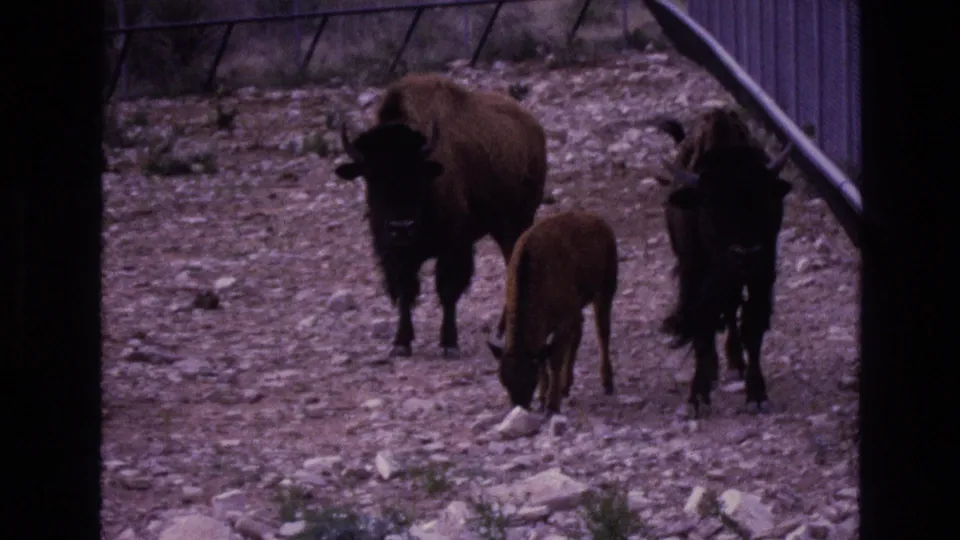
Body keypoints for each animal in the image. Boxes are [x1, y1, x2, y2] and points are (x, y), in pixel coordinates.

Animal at [335, 74, 548, 359]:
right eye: (370, 176)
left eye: (418, 174)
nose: (401, 226)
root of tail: (533, 128)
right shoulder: (396, 252)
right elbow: (405, 290)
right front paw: (401, 342)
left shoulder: (454, 246)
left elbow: (447, 290)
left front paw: (449, 344)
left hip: (517, 223)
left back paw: (503, 333)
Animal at [486, 211, 619, 415]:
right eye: (503, 381)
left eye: (529, 381)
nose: (520, 406)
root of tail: (600, 223)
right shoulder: (548, 325)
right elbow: (544, 358)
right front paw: (543, 397)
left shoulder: (563, 321)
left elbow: (554, 359)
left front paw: (552, 404)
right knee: (579, 334)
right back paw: (566, 385)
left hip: (605, 289)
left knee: (602, 332)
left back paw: (607, 382)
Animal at [655, 108, 793, 416]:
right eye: (710, 204)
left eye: (765, 199)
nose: (746, 252)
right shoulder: (696, 275)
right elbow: (702, 325)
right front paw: (698, 395)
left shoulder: (762, 274)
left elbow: (752, 325)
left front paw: (757, 394)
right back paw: (715, 369)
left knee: (731, 312)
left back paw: (734, 362)